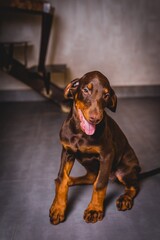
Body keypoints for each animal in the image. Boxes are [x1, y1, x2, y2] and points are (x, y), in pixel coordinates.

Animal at [49, 70, 141, 224]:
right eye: (86, 90)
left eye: (106, 95)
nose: (95, 118)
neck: (80, 133)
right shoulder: (67, 152)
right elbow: (62, 178)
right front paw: (58, 208)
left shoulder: (107, 155)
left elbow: (100, 184)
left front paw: (94, 209)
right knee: (89, 177)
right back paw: (70, 180)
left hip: (125, 170)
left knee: (133, 186)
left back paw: (125, 199)